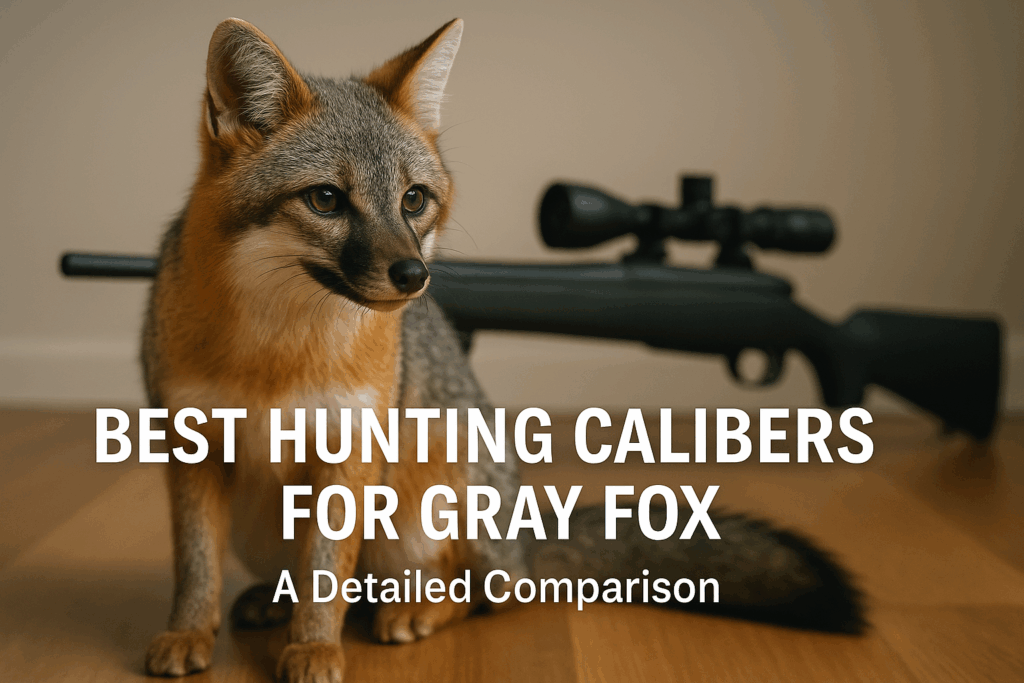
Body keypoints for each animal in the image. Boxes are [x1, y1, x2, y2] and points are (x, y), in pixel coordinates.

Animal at [141, 17, 865, 682]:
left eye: (413, 200)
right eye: (325, 199)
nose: (414, 276)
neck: (277, 350)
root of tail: (523, 542)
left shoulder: (350, 452)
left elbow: (326, 575)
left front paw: (315, 648)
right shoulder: (190, 445)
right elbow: (196, 566)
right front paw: (187, 633)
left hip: (422, 507)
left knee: (476, 591)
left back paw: (414, 610)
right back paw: (273, 600)